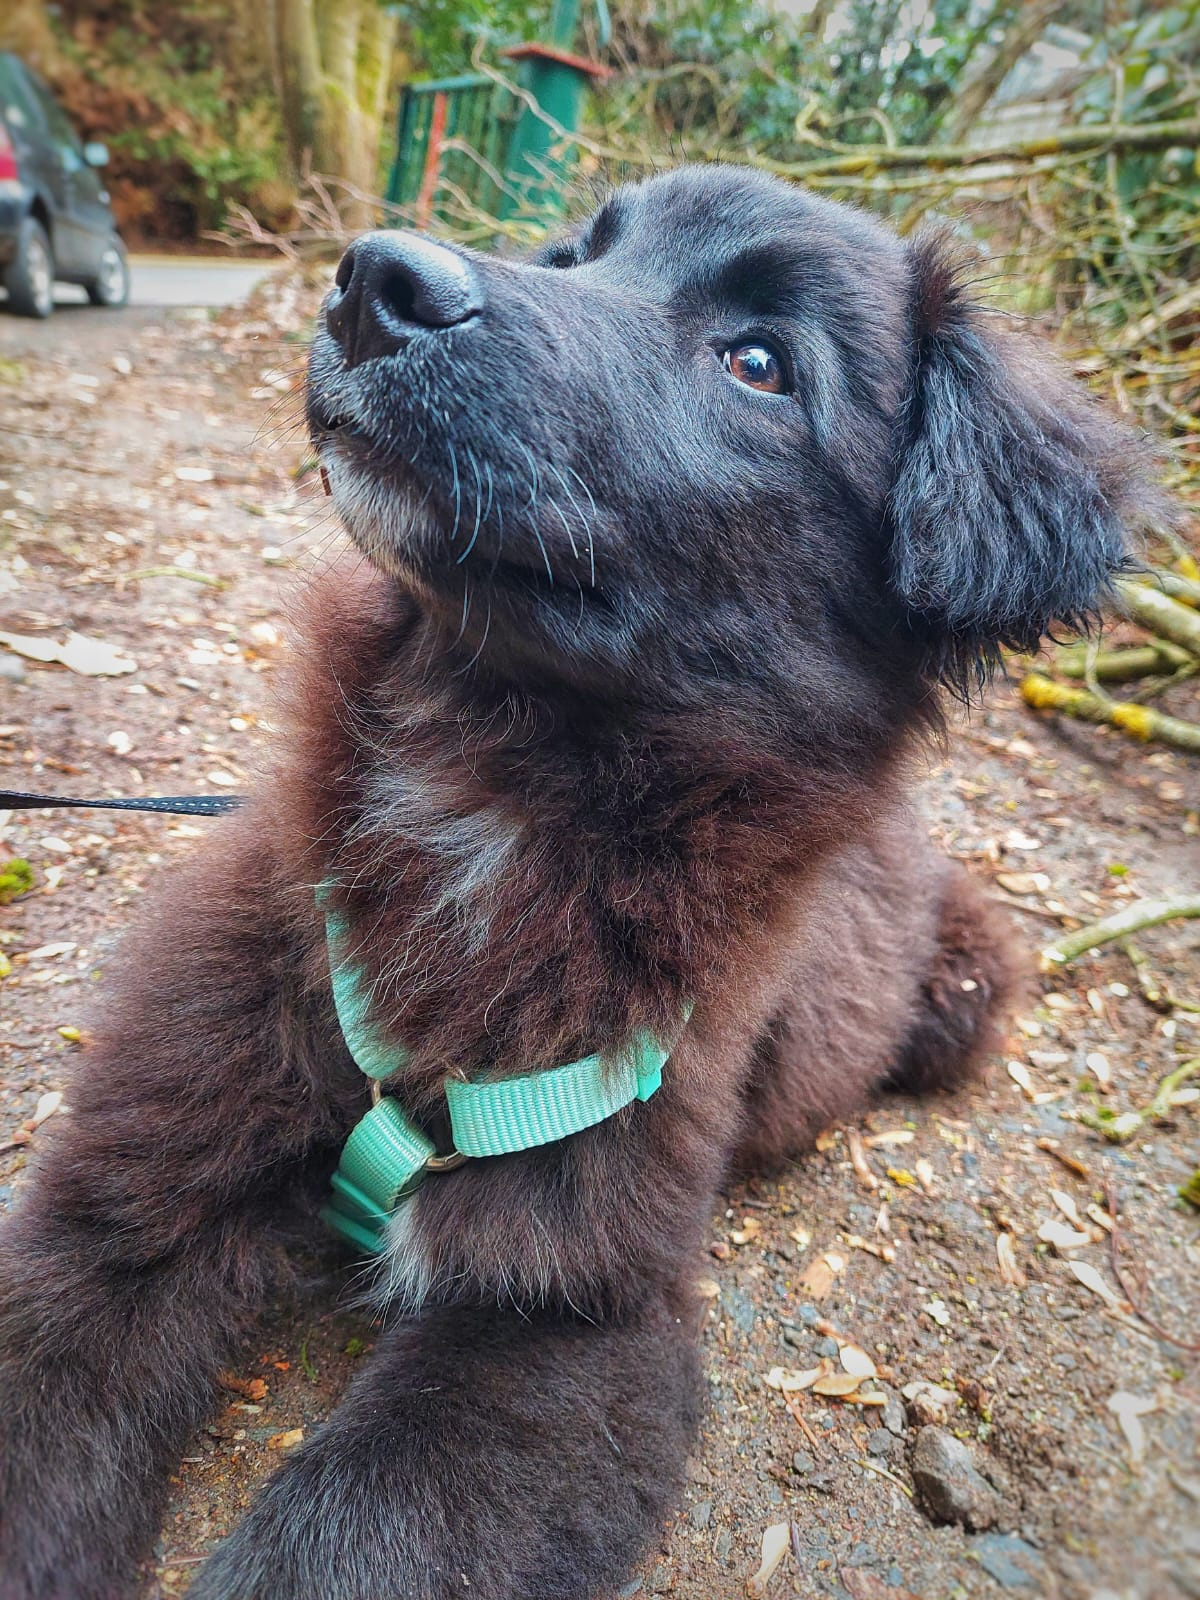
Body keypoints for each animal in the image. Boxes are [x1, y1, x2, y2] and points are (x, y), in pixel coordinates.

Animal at [0, 163, 1145, 1599]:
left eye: (760, 363)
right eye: (570, 256)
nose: (378, 280)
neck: (488, 802)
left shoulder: (570, 1322)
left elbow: (345, 1539)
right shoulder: (126, 1188)